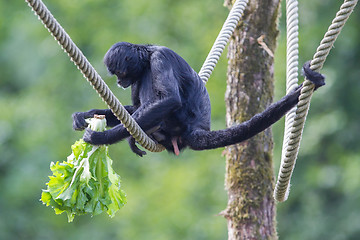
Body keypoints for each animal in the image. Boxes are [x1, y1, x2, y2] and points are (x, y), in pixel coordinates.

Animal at [71, 42, 324, 157]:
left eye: (120, 73)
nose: (118, 82)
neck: (149, 52)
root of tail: (196, 128)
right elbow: (135, 106)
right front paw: (86, 115)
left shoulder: (160, 58)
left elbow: (170, 99)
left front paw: (100, 137)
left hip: (177, 120)